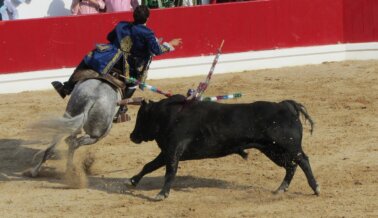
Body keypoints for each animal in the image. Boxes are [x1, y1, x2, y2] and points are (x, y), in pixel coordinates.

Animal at [127, 94, 318, 200]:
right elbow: (149, 165)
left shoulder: (174, 149)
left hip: (289, 146)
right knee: (291, 166)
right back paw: (281, 189)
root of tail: (286, 105)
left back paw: (315, 187)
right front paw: (133, 180)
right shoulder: (166, 151)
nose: (132, 136)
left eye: (141, 117)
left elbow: (170, 172)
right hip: (272, 150)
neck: (167, 115)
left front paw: (161, 194)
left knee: (303, 160)